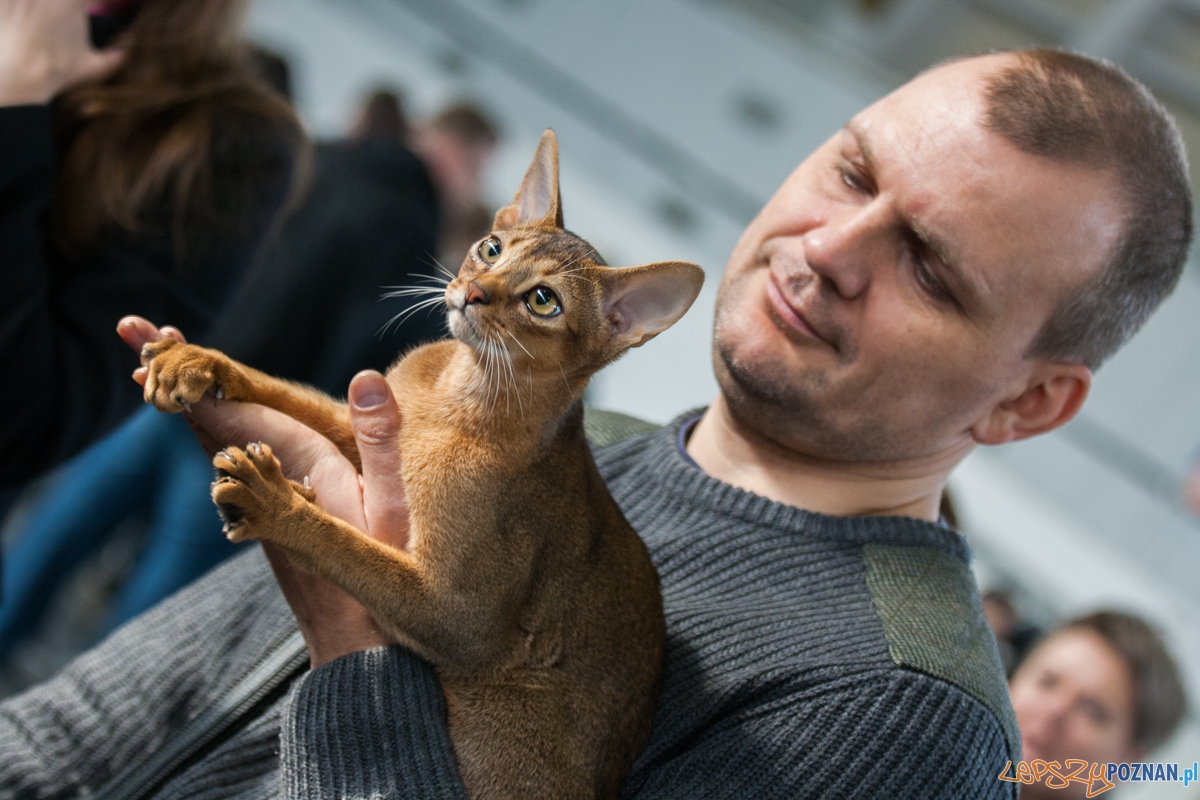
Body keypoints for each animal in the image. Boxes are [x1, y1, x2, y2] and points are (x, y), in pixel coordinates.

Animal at [139, 128, 700, 796]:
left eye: (543, 301)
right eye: (491, 248)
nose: (472, 293)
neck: (456, 397)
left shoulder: (461, 618)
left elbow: (347, 546)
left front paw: (274, 502)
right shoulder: (370, 418)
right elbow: (284, 389)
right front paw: (197, 361)